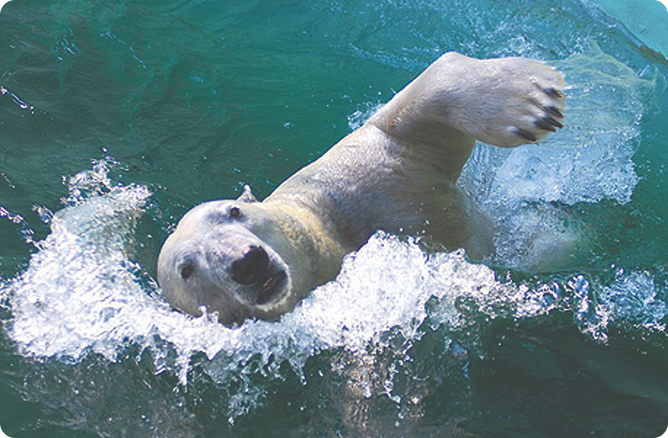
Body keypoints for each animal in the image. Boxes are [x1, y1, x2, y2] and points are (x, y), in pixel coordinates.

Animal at [157, 52, 566, 326]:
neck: (332, 227)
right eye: (187, 270)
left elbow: (406, 115)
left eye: (234, 211)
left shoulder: (358, 169)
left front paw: (531, 99)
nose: (246, 261)